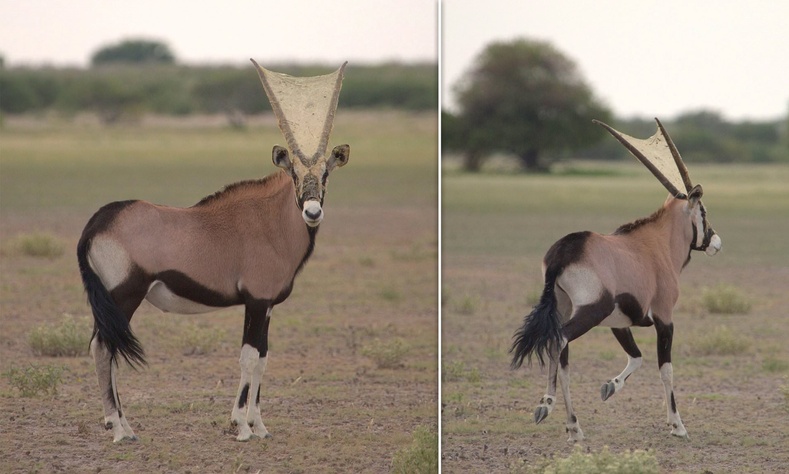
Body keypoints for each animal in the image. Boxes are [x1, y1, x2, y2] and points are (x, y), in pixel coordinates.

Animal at [78, 61, 350, 442]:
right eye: (293, 174)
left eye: (326, 174)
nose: (312, 212)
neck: (270, 220)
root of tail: (99, 221)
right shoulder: (256, 301)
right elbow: (249, 357)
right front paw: (242, 427)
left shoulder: (267, 306)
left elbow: (263, 357)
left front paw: (259, 425)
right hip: (124, 295)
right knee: (104, 347)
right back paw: (119, 428)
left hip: (109, 303)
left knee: (102, 345)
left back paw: (120, 424)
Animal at [510, 117, 720, 440]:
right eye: (703, 211)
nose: (715, 242)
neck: (659, 242)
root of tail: (563, 251)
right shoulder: (664, 317)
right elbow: (666, 369)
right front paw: (677, 425)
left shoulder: (619, 323)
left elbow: (637, 357)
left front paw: (609, 386)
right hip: (591, 311)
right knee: (560, 340)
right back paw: (555, 412)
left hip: (567, 309)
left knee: (562, 352)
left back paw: (567, 421)